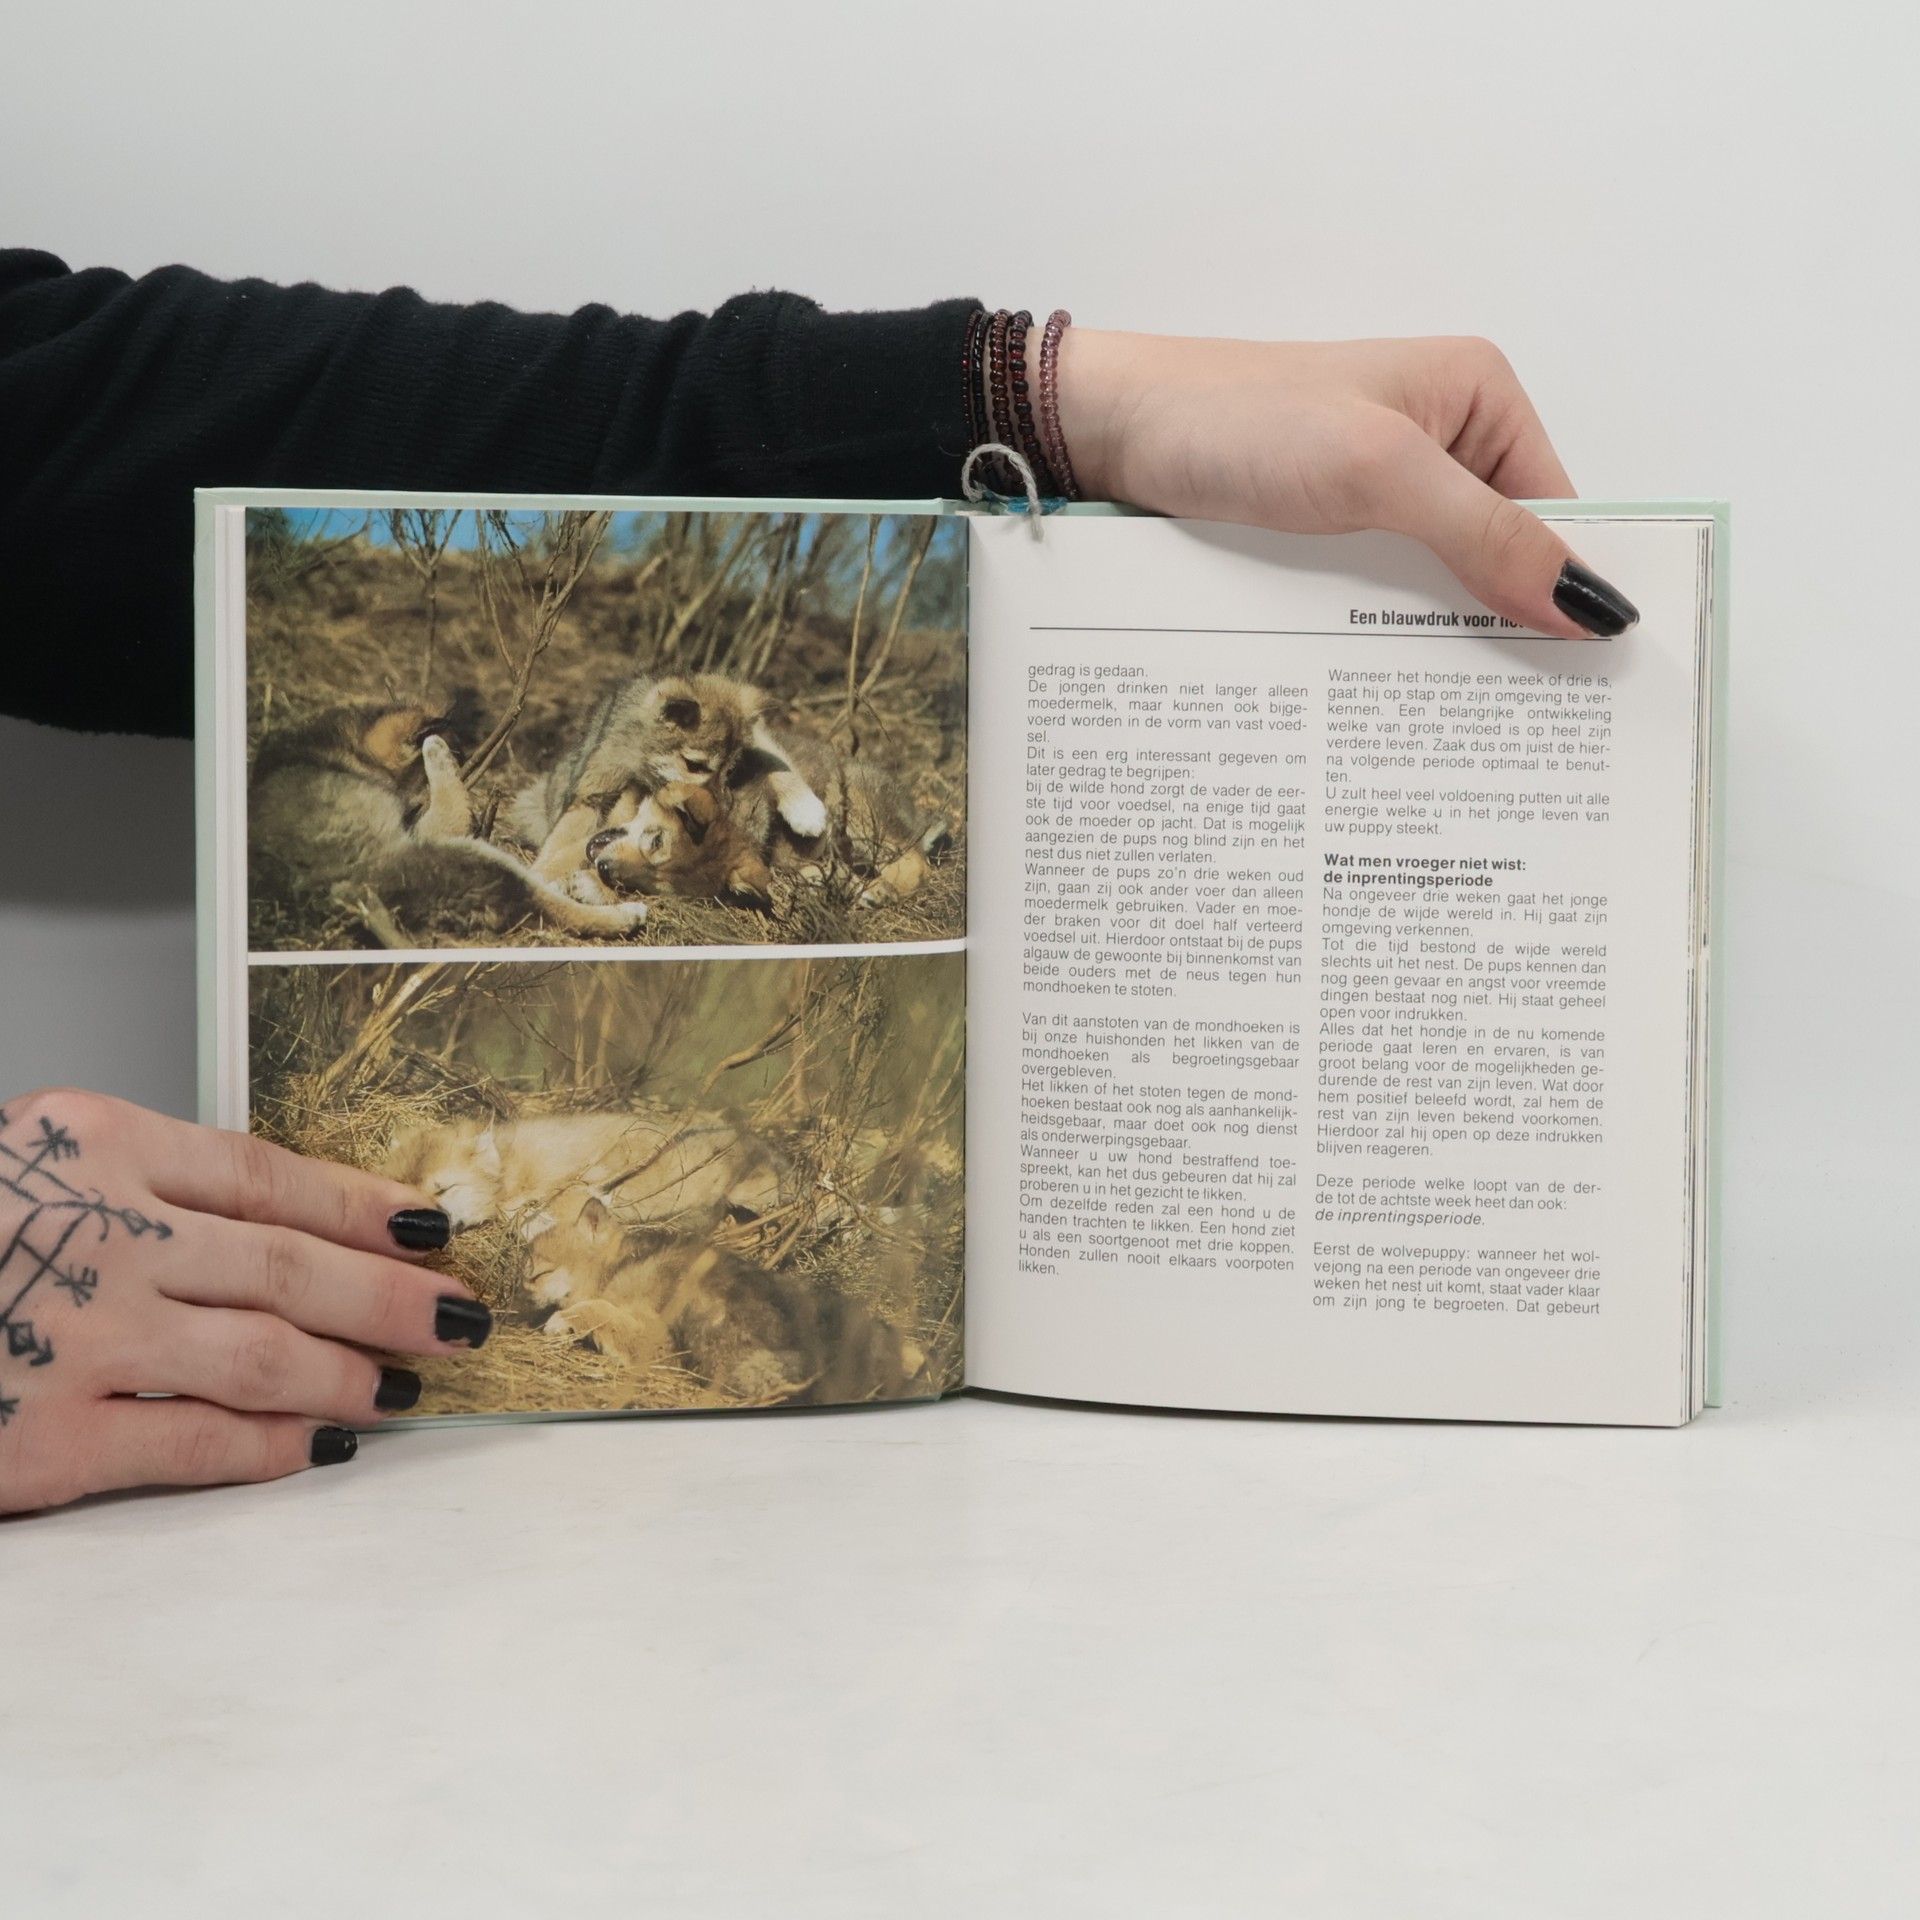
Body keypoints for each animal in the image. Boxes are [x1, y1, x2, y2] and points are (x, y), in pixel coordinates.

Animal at [248, 701, 649, 941]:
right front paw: (437, 751)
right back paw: (624, 914)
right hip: (471, 857)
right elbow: (451, 800)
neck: (344, 751)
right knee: (550, 903)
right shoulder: (424, 826)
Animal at [503, 672, 826, 896]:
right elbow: (560, 844)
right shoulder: (592, 795)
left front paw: (805, 808)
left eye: (729, 770)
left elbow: (771, 754)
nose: (720, 812)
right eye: (695, 766)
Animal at [583, 728, 952, 911]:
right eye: (649, 884)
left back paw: (881, 890)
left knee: (916, 861)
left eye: (656, 842)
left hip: (857, 807)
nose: (604, 870)